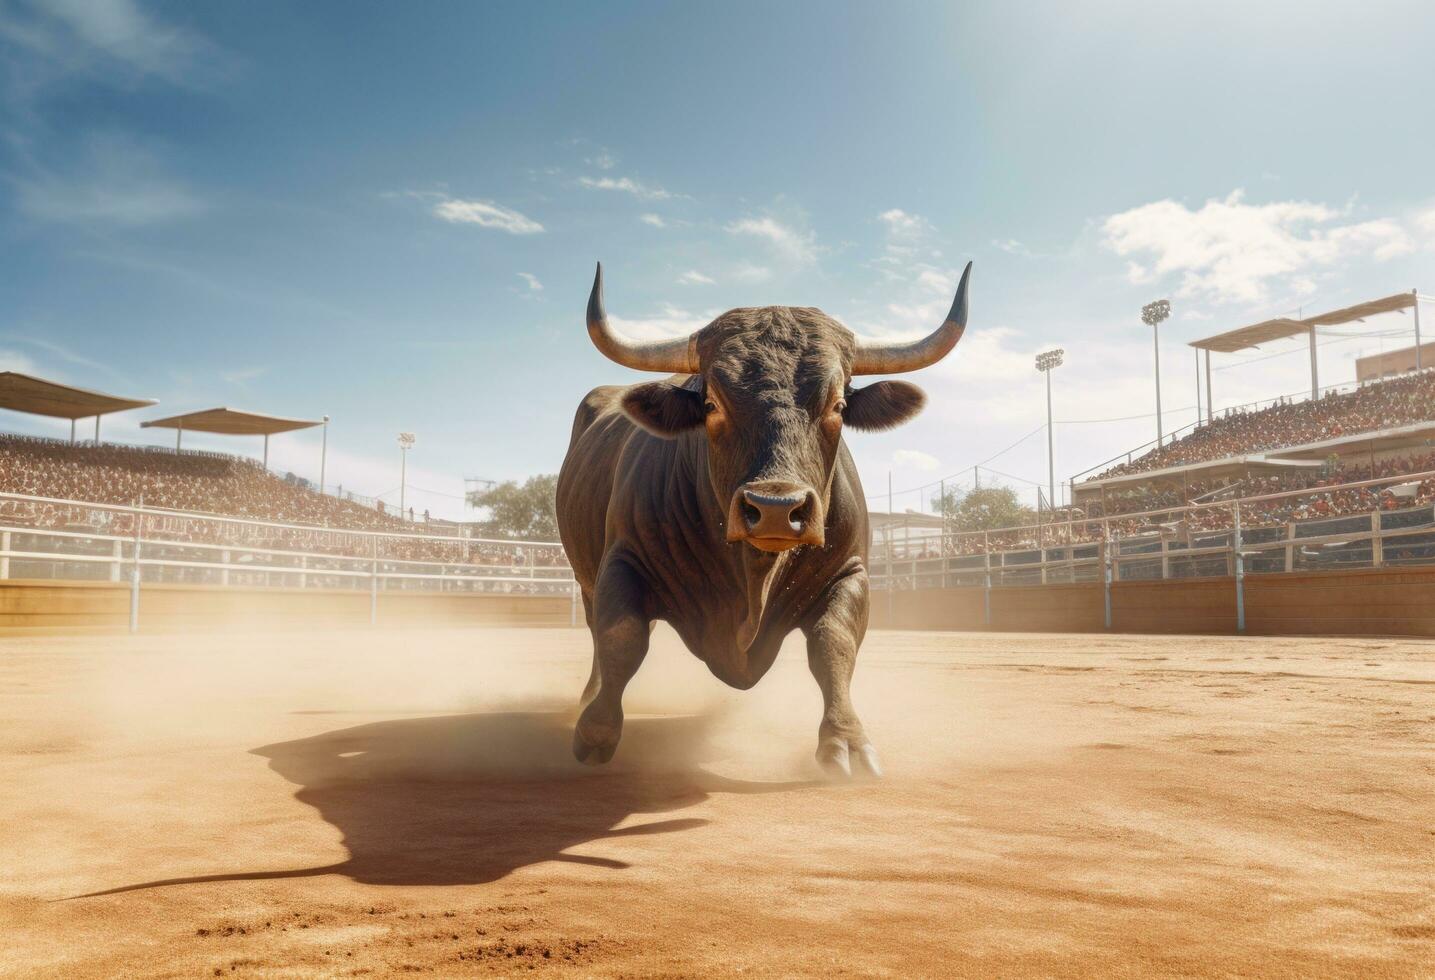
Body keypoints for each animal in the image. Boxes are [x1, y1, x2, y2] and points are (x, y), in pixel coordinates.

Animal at [553, 262, 970, 780]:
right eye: (711, 404)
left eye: (838, 405)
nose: (775, 507)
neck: (753, 576)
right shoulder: (622, 562)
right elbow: (622, 637)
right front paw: (596, 730)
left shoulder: (850, 572)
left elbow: (833, 644)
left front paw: (846, 739)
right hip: (585, 579)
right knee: (597, 631)